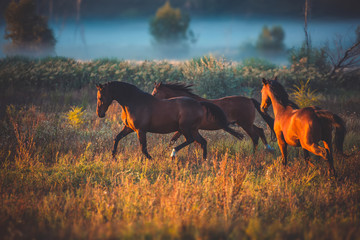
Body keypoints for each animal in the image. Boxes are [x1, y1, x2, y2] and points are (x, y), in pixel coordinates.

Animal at [95, 81, 243, 160]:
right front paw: (113, 156)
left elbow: (143, 148)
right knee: (202, 142)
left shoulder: (140, 130)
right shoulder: (129, 128)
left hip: (185, 128)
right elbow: (117, 138)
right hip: (193, 129)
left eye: (100, 97)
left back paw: (173, 153)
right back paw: (204, 160)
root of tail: (198, 103)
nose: (100, 114)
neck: (133, 102)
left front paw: (151, 159)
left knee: (190, 140)